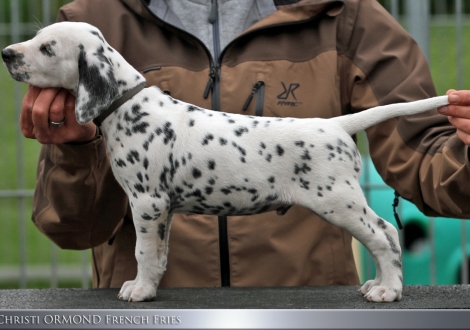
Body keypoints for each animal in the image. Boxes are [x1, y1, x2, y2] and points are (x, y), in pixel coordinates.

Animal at [1, 21, 450, 302]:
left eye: (47, 48)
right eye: (36, 38)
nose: (6, 53)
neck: (128, 104)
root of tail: (336, 125)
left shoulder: (146, 202)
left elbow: (144, 252)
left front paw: (139, 290)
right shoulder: (163, 209)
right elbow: (159, 253)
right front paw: (151, 286)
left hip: (337, 200)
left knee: (385, 235)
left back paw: (388, 290)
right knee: (382, 236)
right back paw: (378, 284)